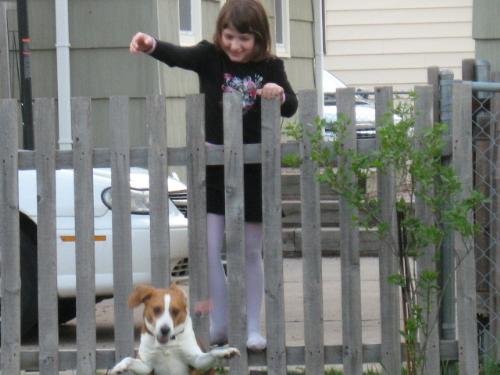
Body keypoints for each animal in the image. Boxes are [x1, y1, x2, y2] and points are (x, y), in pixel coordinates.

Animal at [109, 284, 240, 375]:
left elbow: (212, 353)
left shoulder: (197, 362)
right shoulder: (147, 366)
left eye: (175, 311)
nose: (165, 330)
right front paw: (120, 366)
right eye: (156, 309)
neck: (167, 345)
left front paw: (225, 352)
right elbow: (129, 359)